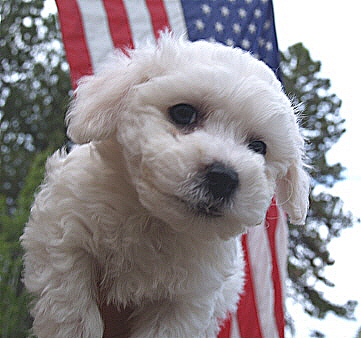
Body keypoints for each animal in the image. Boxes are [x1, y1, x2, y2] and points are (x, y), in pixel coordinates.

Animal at [21, 35, 308, 338]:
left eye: (259, 147)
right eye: (183, 113)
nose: (223, 177)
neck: (153, 219)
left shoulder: (185, 301)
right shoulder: (62, 227)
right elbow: (70, 305)